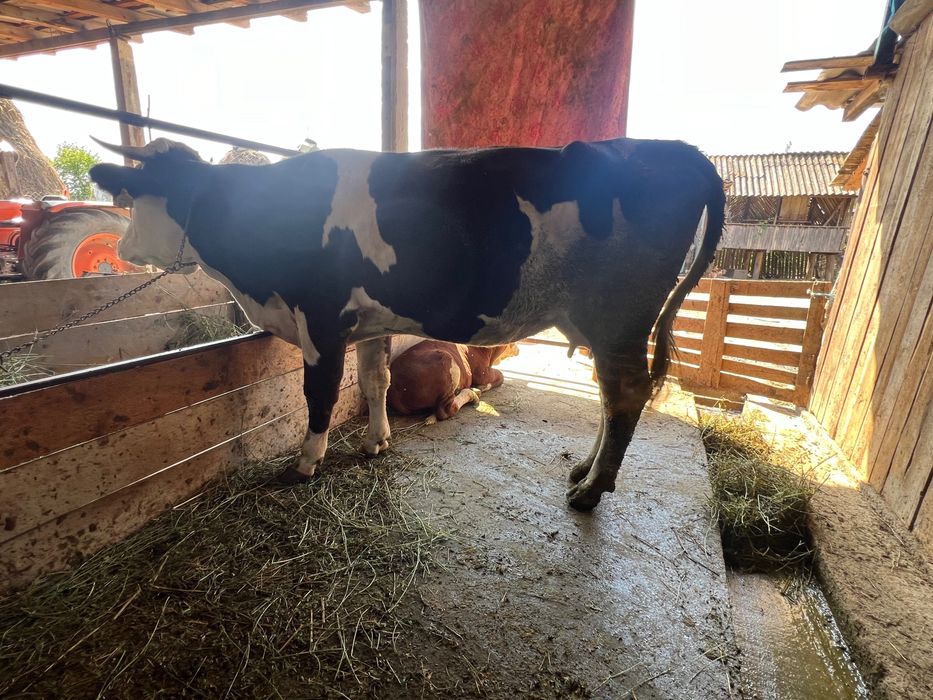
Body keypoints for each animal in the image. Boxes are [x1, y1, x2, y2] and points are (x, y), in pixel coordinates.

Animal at [387, 341, 518, 423]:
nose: (518, 350)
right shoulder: (482, 373)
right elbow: (501, 376)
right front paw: (482, 386)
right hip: (447, 359)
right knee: (446, 410)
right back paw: (473, 393)